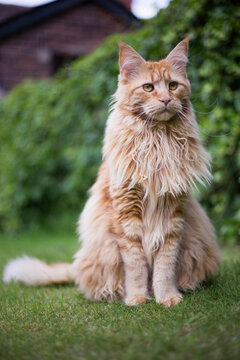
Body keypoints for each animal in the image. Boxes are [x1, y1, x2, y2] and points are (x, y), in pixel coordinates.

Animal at [3, 39, 221, 306]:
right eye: (148, 87)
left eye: (173, 85)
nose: (166, 100)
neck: (158, 142)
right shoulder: (126, 213)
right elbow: (136, 266)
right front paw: (138, 298)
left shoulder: (173, 216)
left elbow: (164, 266)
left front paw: (167, 297)